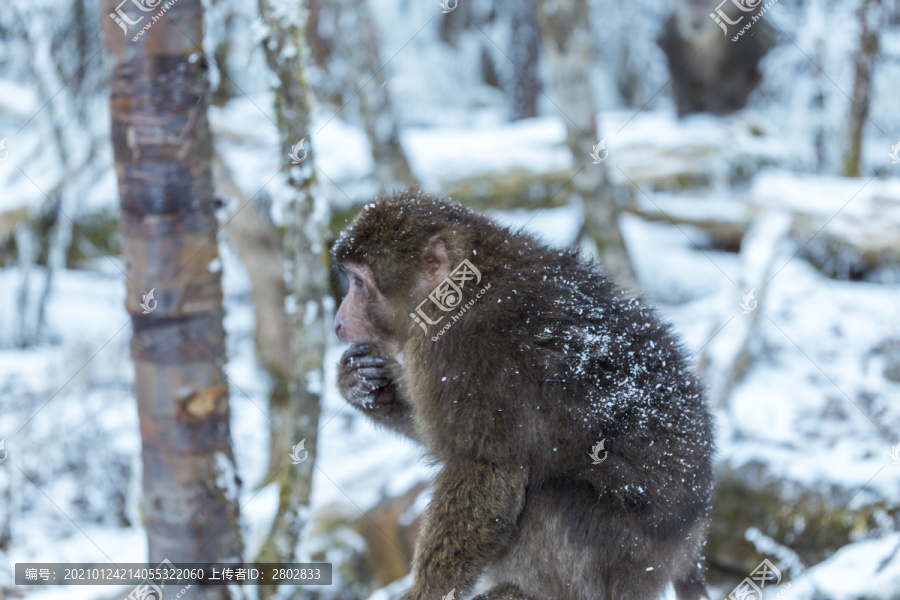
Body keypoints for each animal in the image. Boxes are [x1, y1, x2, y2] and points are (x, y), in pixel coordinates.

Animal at [332, 192, 716, 600]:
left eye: (358, 283)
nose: (339, 322)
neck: (461, 287)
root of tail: (690, 544)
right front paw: (359, 385)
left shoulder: (468, 351)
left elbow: (487, 466)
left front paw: (427, 591)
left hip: (631, 554)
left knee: (551, 498)